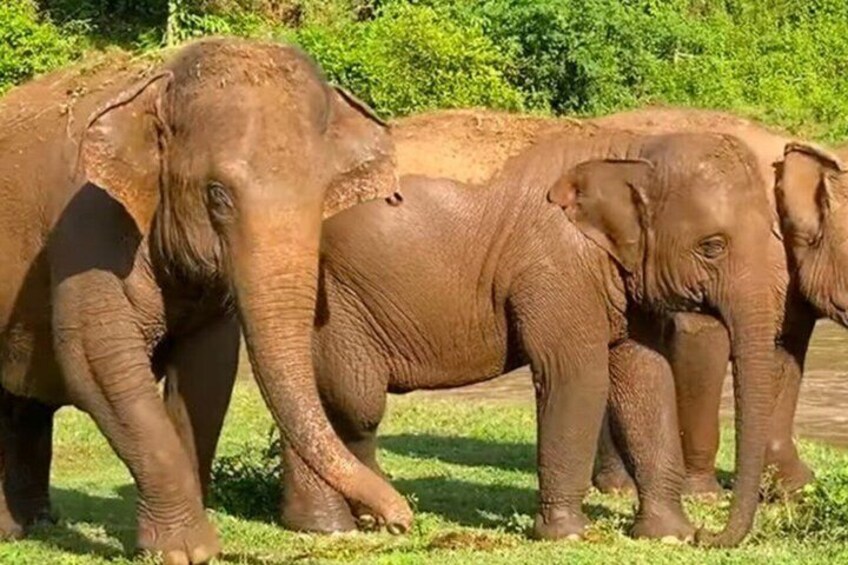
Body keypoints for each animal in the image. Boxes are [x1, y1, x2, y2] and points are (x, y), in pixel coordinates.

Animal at [0, 37, 410, 563]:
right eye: (218, 195)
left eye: (323, 194)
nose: (398, 520)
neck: (158, 83)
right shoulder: (85, 221)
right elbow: (98, 361)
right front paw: (186, 550)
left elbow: (207, 372)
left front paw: (189, 546)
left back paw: (28, 526)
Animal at [296, 129, 778, 546]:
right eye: (712, 247)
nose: (707, 535)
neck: (627, 149)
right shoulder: (555, 268)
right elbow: (577, 378)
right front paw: (567, 535)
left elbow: (646, 377)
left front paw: (668, 535)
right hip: (335, 302)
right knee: (354, 401)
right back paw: (335, 525)